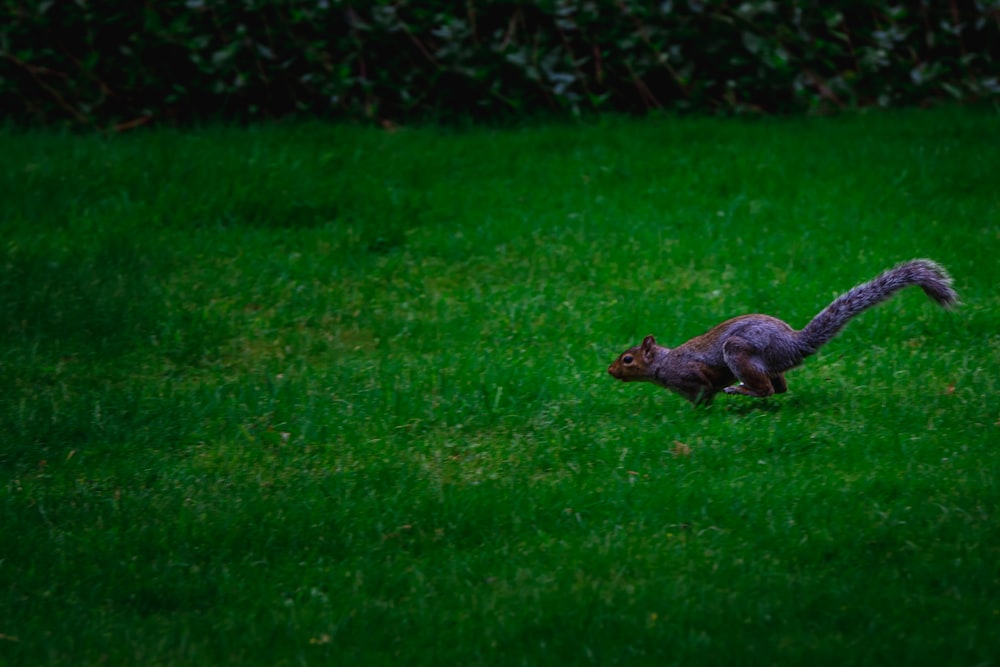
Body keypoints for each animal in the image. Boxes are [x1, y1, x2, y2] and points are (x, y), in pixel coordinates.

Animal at [604, 260, 956, 408]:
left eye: (628, 359)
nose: (609, 370)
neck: (663, 364)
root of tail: (793, 343)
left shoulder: (691, 375)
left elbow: (703, 392)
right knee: (780, 387)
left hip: (740, 352)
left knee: (767, 389)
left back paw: (739, 390)